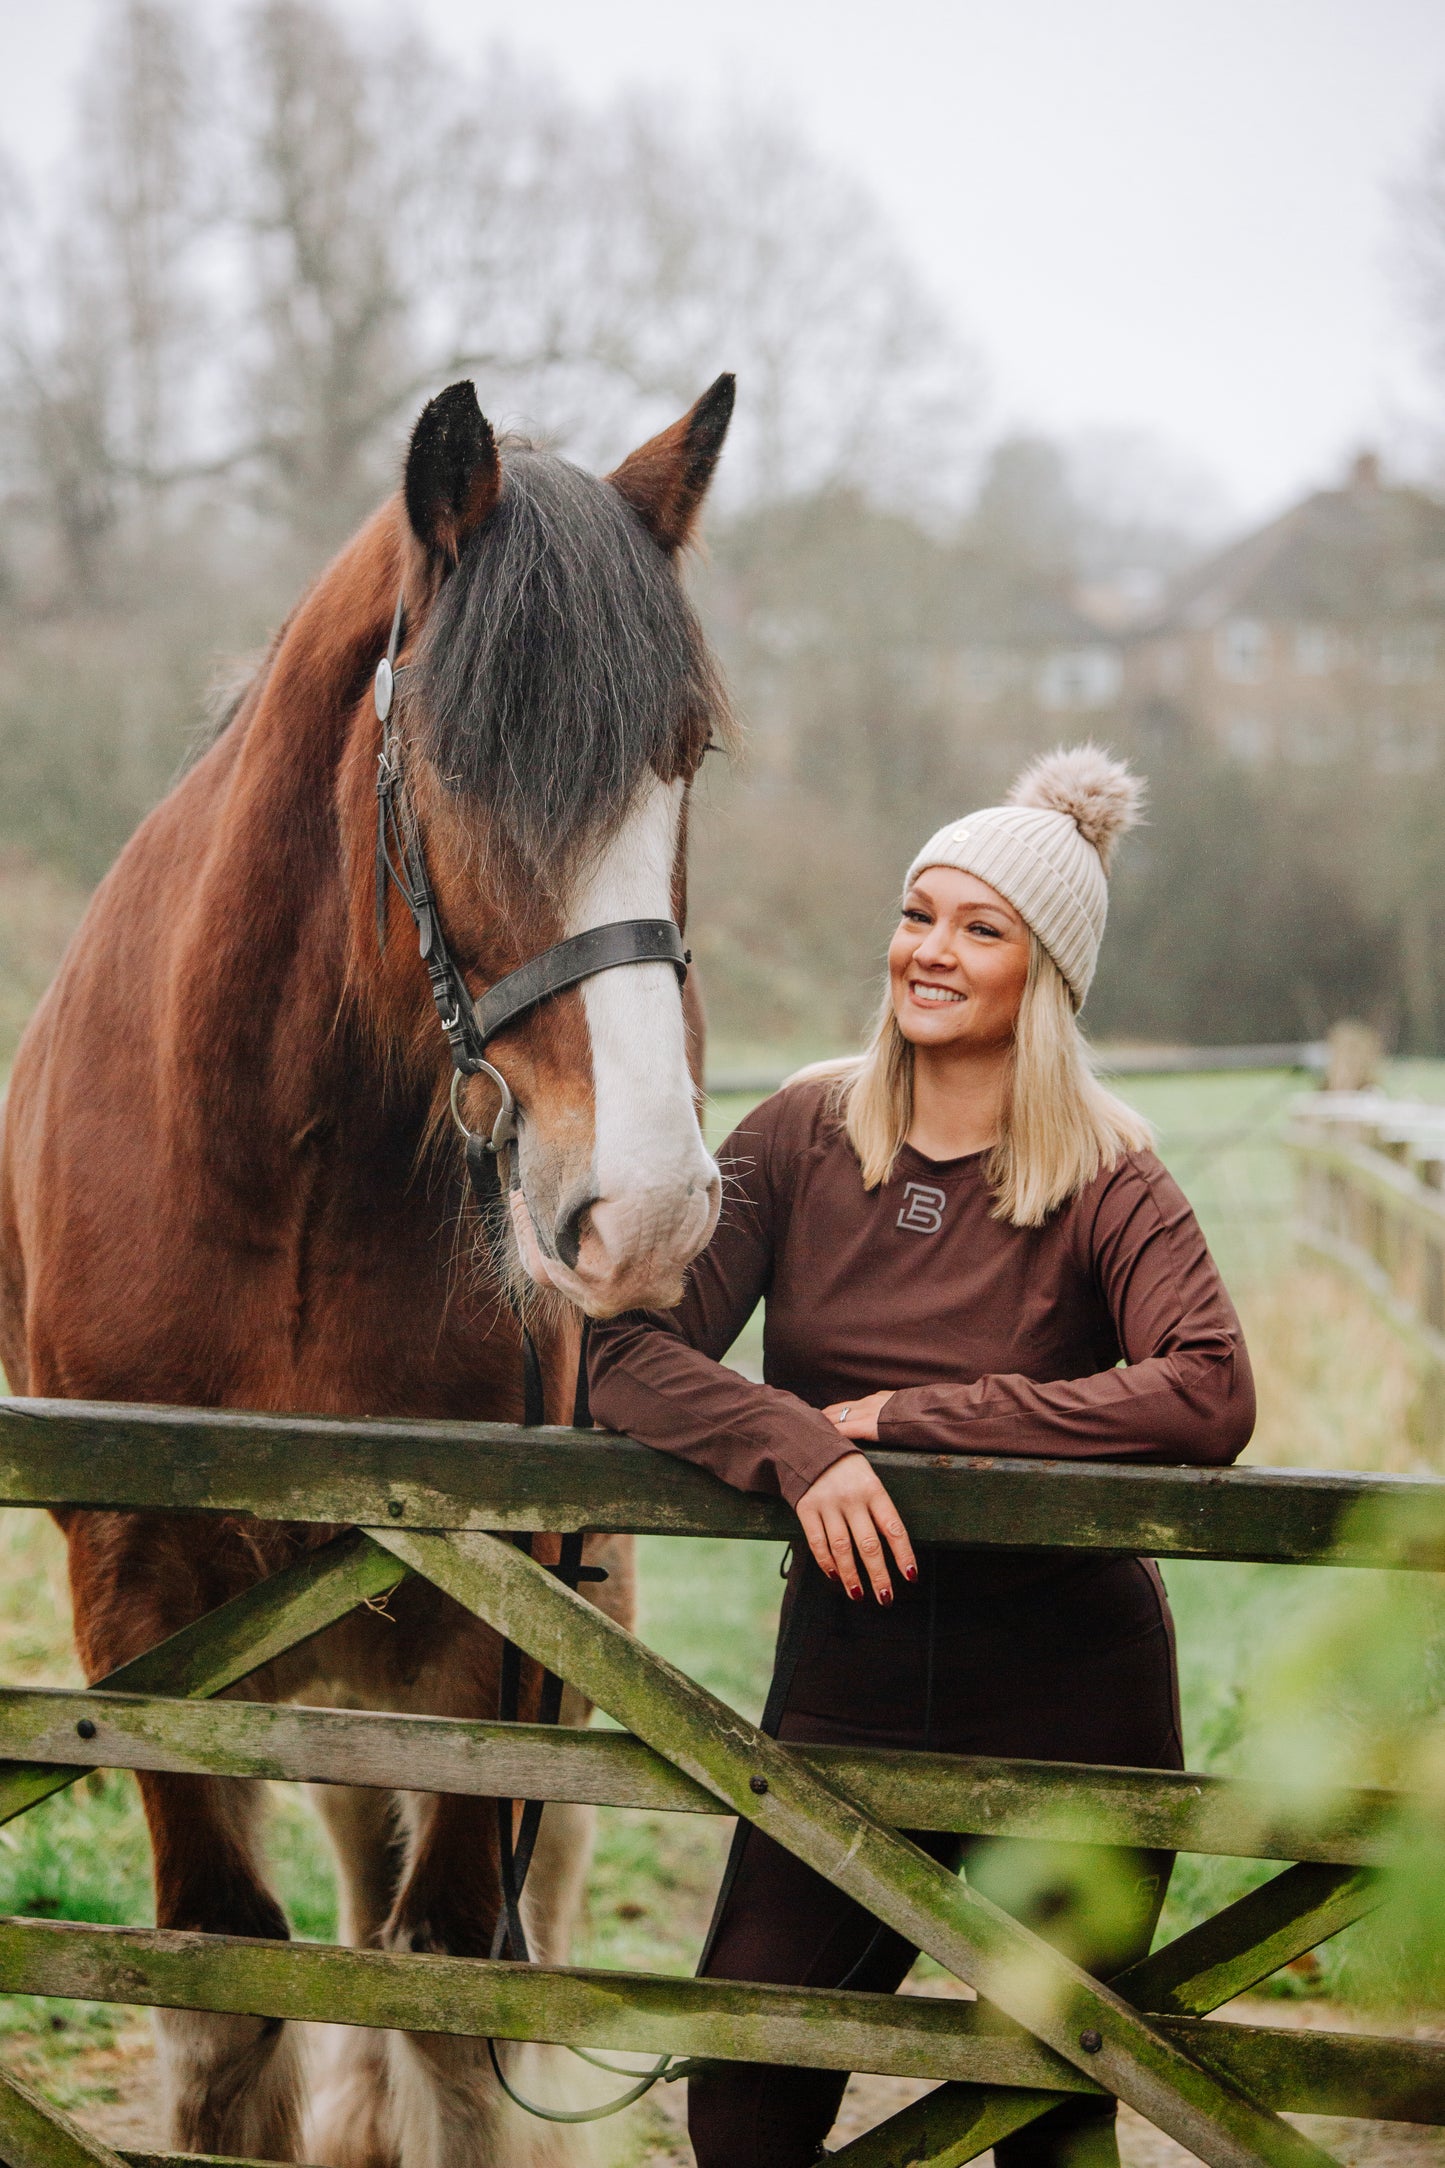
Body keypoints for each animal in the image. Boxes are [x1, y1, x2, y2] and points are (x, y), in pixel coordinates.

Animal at [0, 377, 740, 2168]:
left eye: (684, 758)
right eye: (466, 759)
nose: (647, 1208)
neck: (287, 1163)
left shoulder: (494, 1616)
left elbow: (454, 1998)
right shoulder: (142, 1603)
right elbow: (227, 2005)